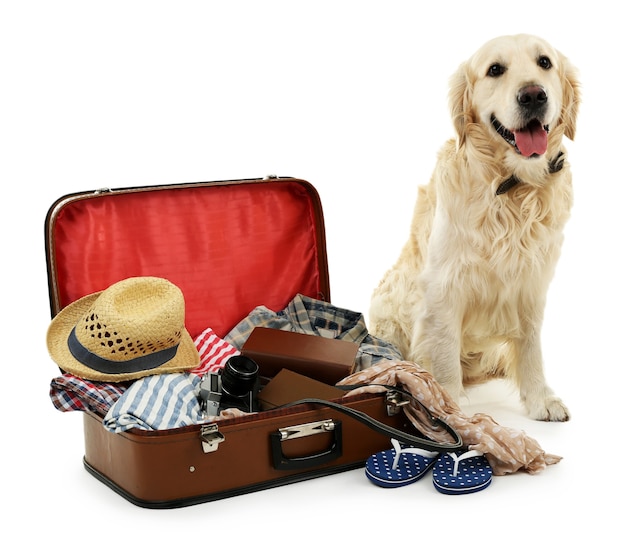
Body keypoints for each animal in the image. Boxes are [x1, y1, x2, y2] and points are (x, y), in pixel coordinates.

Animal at [368, 34, 576, 422]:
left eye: (544, 62)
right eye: (495, 69)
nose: (533, 95)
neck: (511, 188)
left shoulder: (532, 281)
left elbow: (530, 345)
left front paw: (540, 398)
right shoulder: (444, 286)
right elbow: (445, 351)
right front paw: (446, 404)